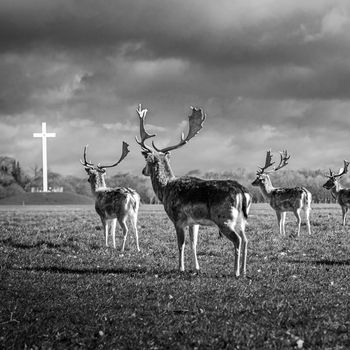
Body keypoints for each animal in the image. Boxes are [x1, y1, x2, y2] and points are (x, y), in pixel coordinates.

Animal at [134, 102, 252, 278]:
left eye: (147, 161)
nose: (143, 171)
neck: (165, 189)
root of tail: (242, 192)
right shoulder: (194, 222)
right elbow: (193, 243)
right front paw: (196, 267)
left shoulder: (178, 219)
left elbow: (181, 244)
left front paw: (180, 268)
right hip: (241, 219)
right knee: (245, 239)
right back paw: (244, 270)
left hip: (224, 219)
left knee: (237, 240)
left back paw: (236, 271)